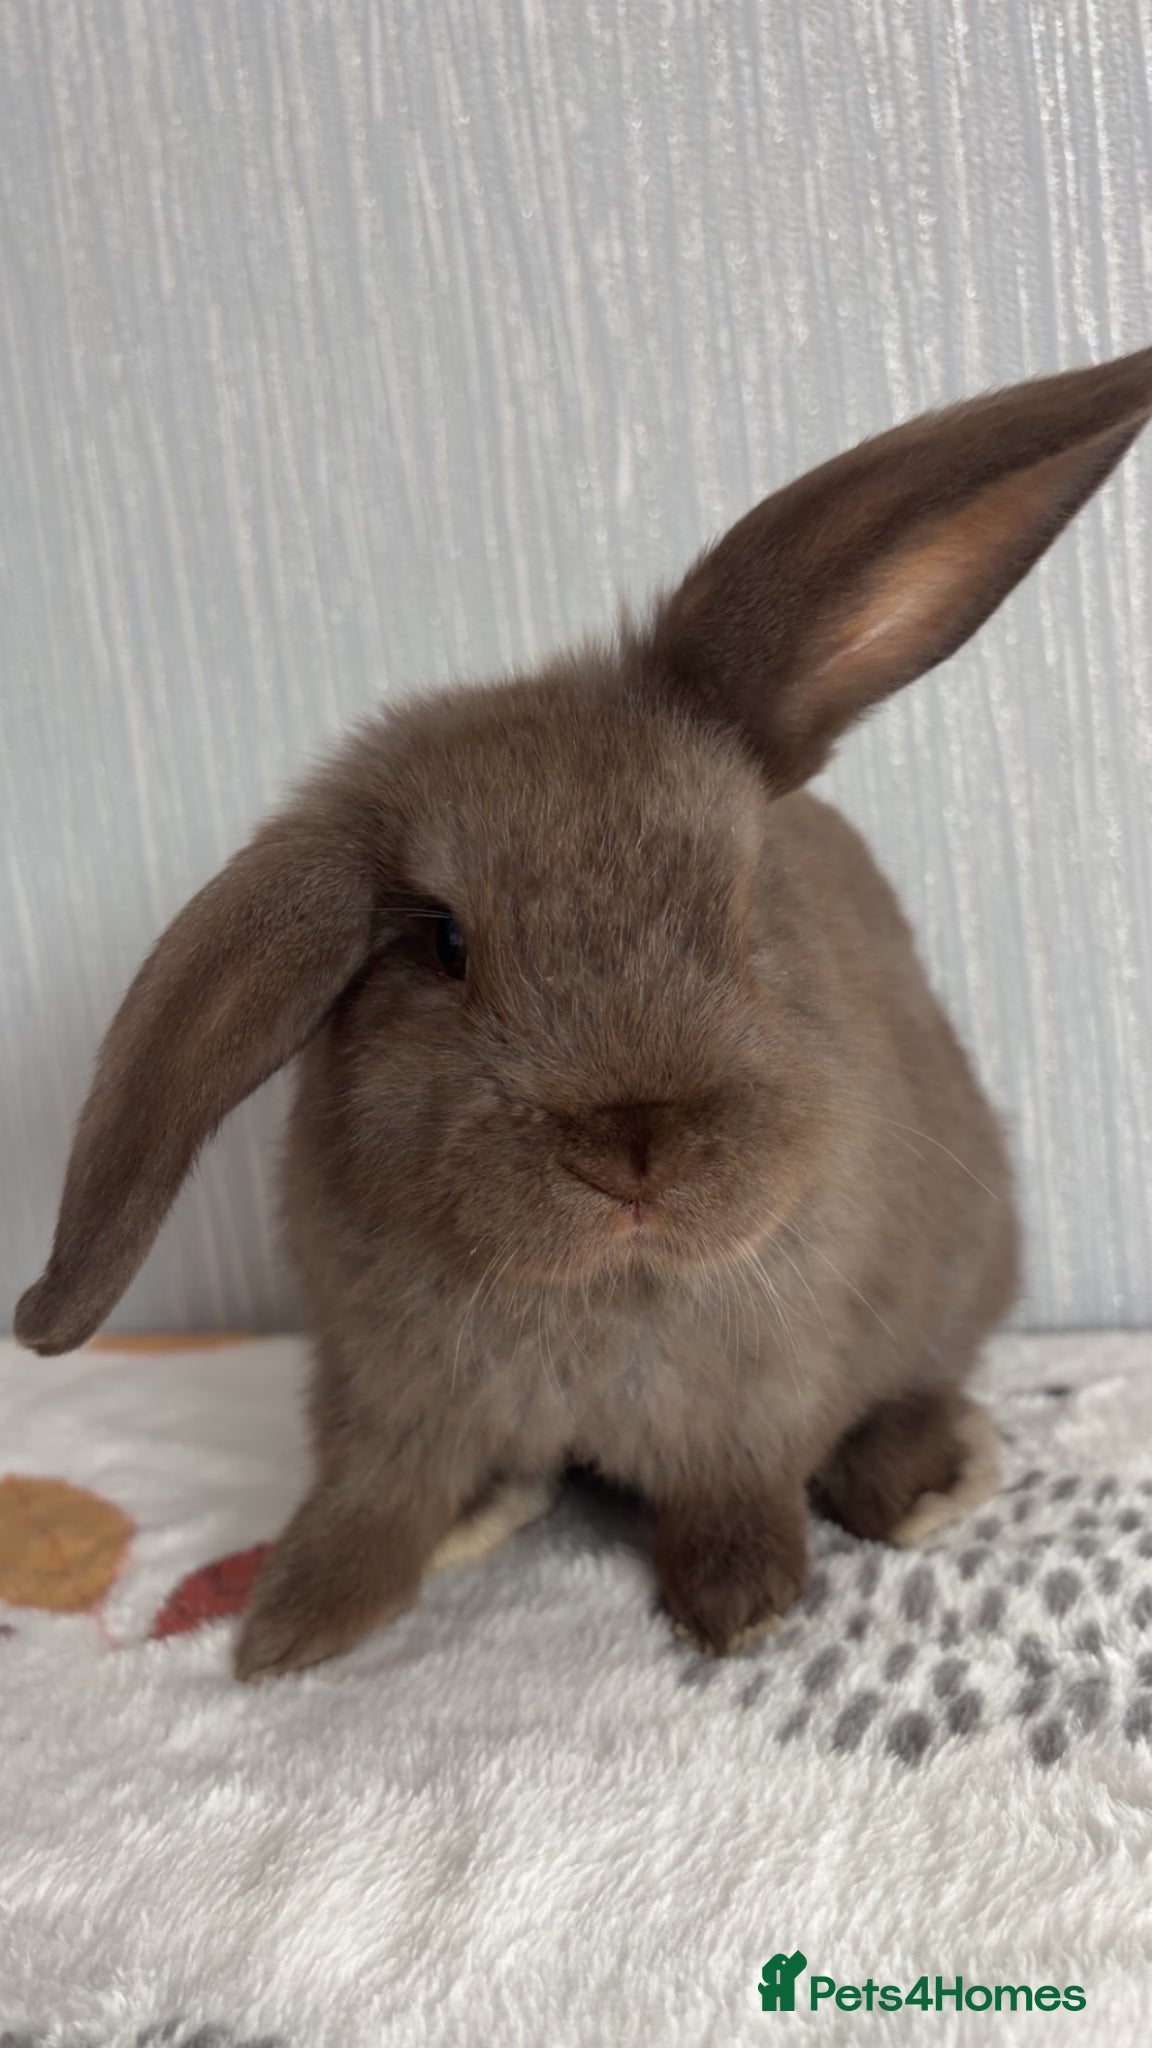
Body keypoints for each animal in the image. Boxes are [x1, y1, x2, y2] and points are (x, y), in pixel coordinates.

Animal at [15, 345, 1152, 1680]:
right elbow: (369, 1503)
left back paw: (920, 1477)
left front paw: (740, 1601)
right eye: (444, 945)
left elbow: (735, 1487)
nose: (632, 1146)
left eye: (743, 901)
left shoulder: (756, 1398)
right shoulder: (376, 1393)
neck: (604, 1293)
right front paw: (289, 1627)